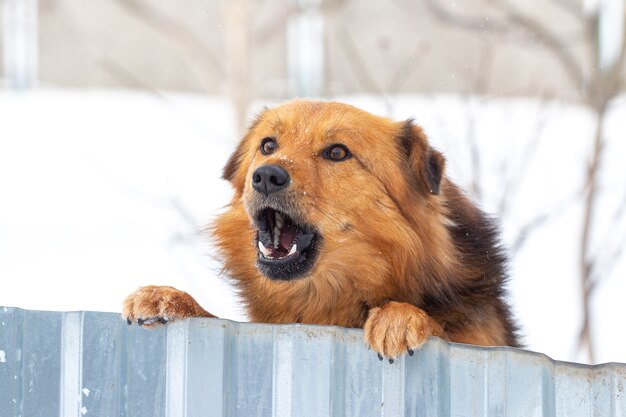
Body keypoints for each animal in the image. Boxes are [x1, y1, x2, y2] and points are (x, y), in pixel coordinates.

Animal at [122, 100, 516, 358]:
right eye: (268, 145)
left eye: (337, 152)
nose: (266, 175)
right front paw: (170, 298)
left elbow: (444, 330)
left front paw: (401, 316)